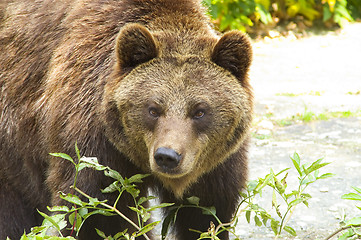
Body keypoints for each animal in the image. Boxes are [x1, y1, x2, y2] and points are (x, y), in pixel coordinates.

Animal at [0, 0, 252, 240]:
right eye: (153, 109)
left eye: (200, 111)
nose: (167, 156)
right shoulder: (93, 142)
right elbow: (98, 212)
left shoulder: (215, 164)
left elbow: (205, 213)